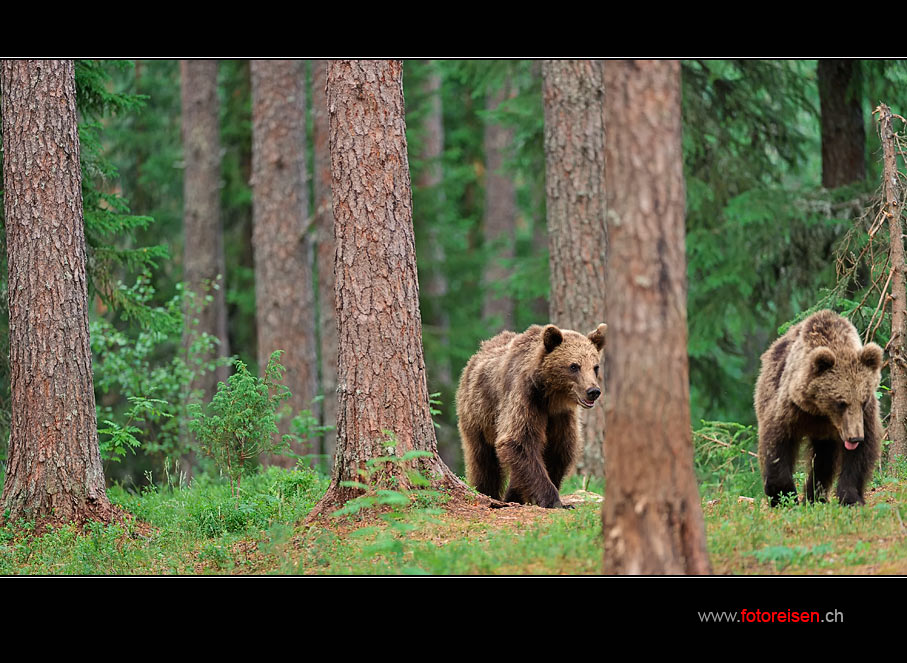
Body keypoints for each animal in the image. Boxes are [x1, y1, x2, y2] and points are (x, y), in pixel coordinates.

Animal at [458, 324, 608, 510]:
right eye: (574, 366)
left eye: (595, 367)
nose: (593, 391)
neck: (551, 397)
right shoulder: (525, 398)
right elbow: (518, 441)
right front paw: (554, 501)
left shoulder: (561, 416)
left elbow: (559, 450)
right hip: (479, 414)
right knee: (483, 460)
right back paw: (487, 492)